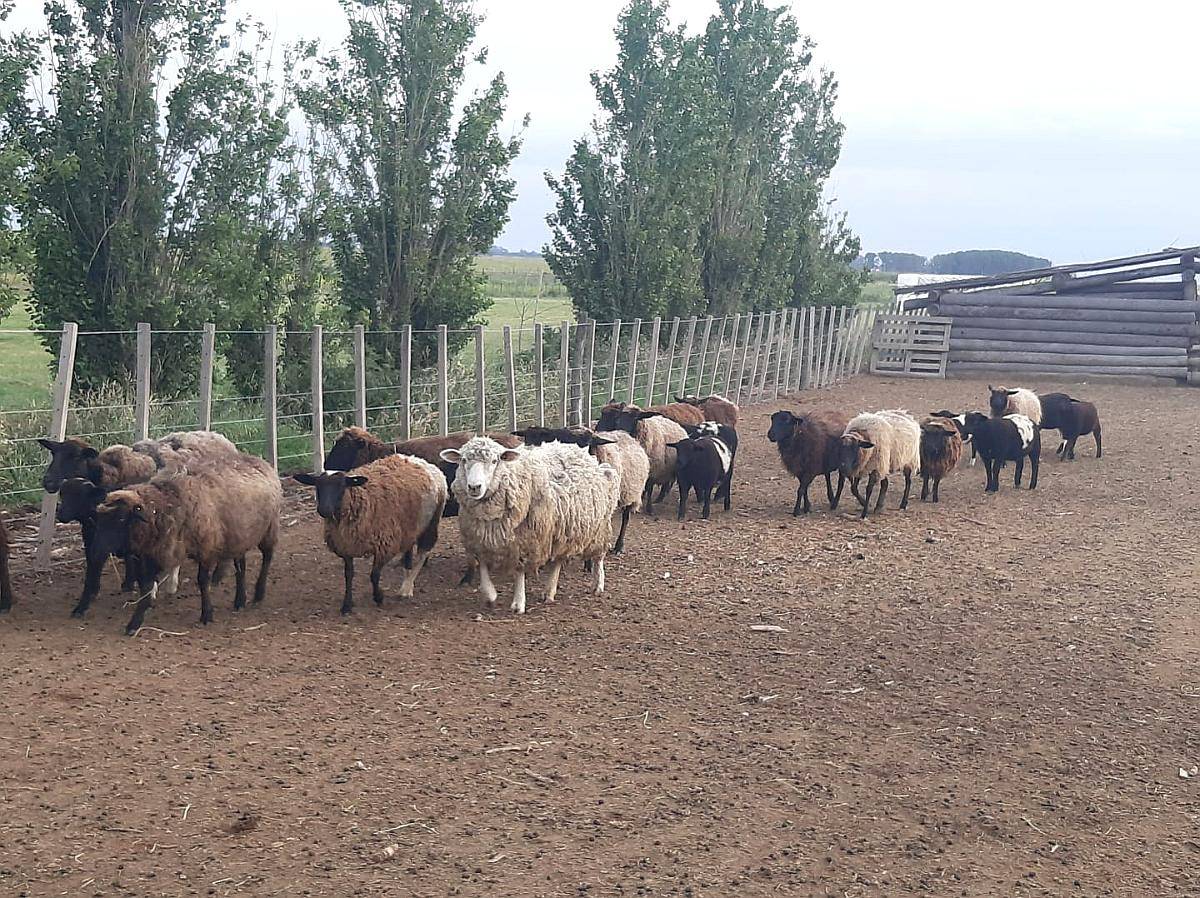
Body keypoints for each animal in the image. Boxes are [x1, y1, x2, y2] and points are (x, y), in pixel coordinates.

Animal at [91, 453, 281, 635]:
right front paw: (134, 623)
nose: (101, 550)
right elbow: (146, 588)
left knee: (267, 557)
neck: (166, 504)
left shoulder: (206, 548)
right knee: (241, 565)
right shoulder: (156, 552)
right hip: (239, 535)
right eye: (101, 520)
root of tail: (261, 461)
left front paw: (207, 614)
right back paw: (240, 600)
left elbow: (203, 581)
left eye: (122, 518)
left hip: (269, 528)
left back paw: (259, 593)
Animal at [294, 454, 446, 615]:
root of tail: (417, 459)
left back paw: (407, 587)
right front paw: (347, 605)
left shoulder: (384, 545)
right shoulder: (346, 546)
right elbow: (348, 575)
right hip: (409, 526)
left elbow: (374, 575)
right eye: (318, 486)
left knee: (423, 553)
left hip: (432, 521)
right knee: (408, 550)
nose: (324, 510)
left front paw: (378, 597)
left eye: (341, 486)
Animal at [441, 438, 619, 614]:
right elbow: (483, 567)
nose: (474, 487)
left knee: (598, 556)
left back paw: (597, 584)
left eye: (494, 461)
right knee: (558, 561)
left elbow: (519, 571)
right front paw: (490, 595)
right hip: (562, 531)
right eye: (463, 460)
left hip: (599, 526)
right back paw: (549, 592)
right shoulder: (479, 540)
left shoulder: (524, 540)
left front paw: (518, 603)